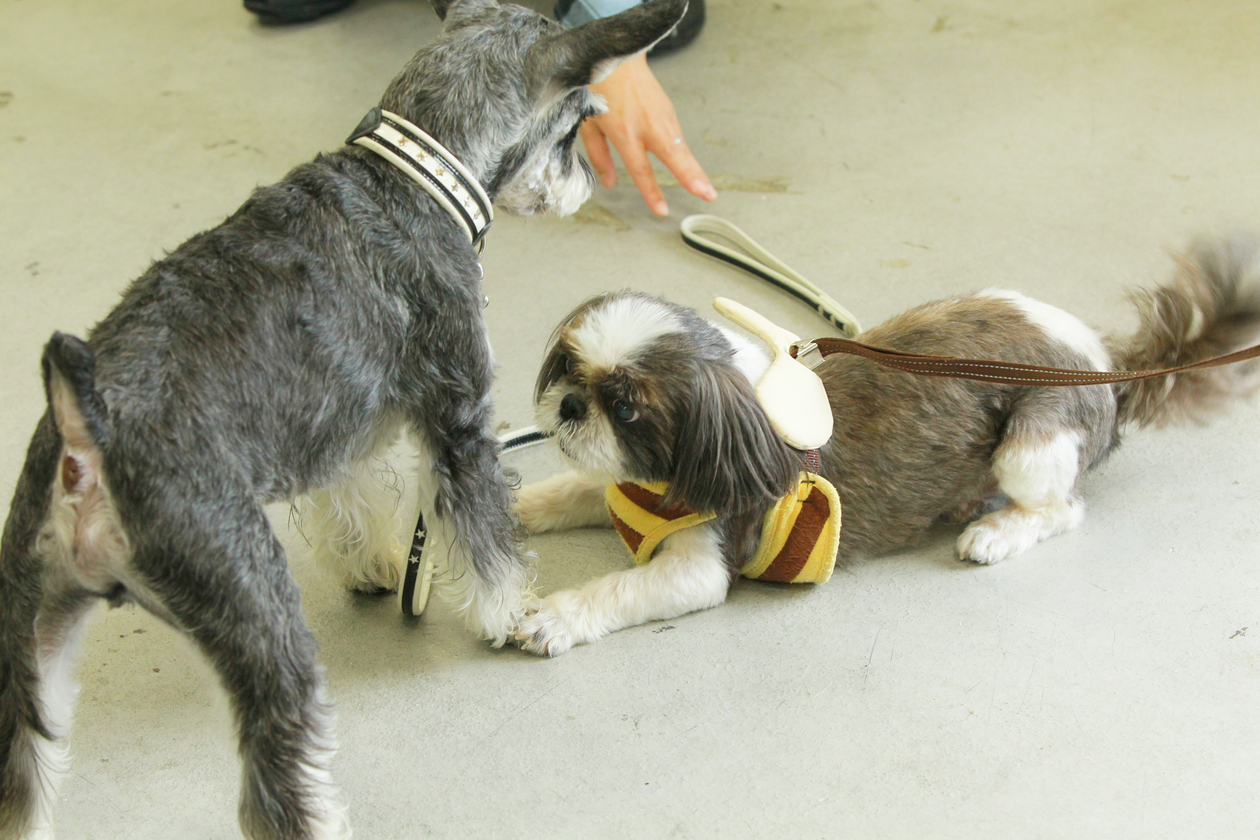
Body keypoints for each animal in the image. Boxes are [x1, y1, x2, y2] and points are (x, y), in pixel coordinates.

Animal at [2, 1, 690, 840]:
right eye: (581, 122)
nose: (584, 183)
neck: (413, 174)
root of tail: (87, 441)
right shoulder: (460, 416)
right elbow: (486, 539)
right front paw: (508, 615)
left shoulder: (348, 418)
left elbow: (352, 500)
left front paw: (372, 565)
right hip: (263, 626)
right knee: (275, 788)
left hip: (29, 642)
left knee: (21, 781)